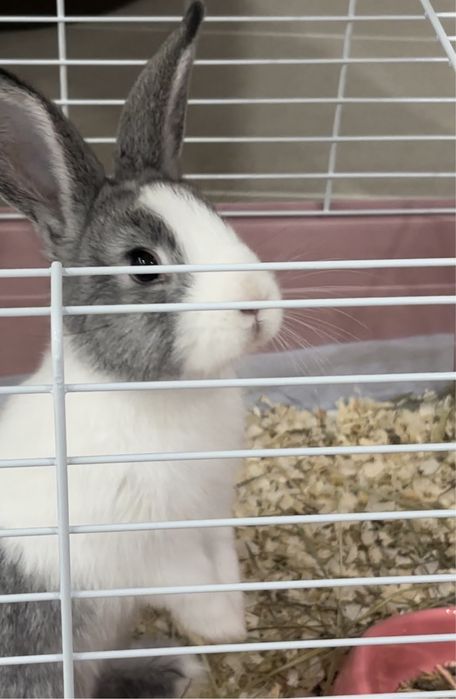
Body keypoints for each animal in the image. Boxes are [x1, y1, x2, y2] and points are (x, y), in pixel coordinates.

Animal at [0, 1, 282, 697]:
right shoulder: (147, 549)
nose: (256, 303)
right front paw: (223, 630)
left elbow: (221, 564)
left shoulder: (211, 517)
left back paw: (170, 669)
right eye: (142, 263)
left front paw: (236, 618)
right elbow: (190, 587)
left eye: (217, 215)